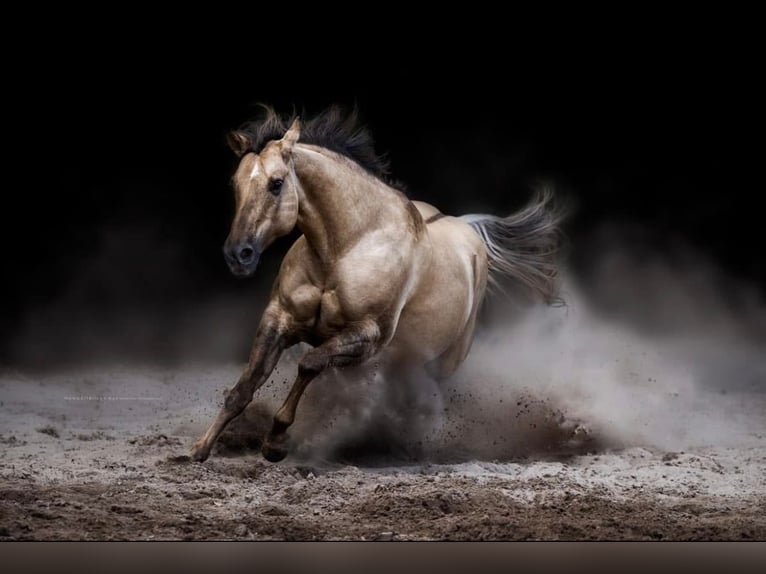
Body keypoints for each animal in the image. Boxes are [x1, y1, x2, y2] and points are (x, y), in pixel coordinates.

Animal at [190, 105, 562, 463]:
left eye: (277, 183)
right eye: (235, 184)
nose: (238, 254)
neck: (343, 250)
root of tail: (468, 228)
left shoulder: (367, 336)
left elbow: (309, 364)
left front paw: (275, 442)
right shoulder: (278, 319)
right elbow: (245, 386)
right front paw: (200, 448)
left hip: (443, 362)